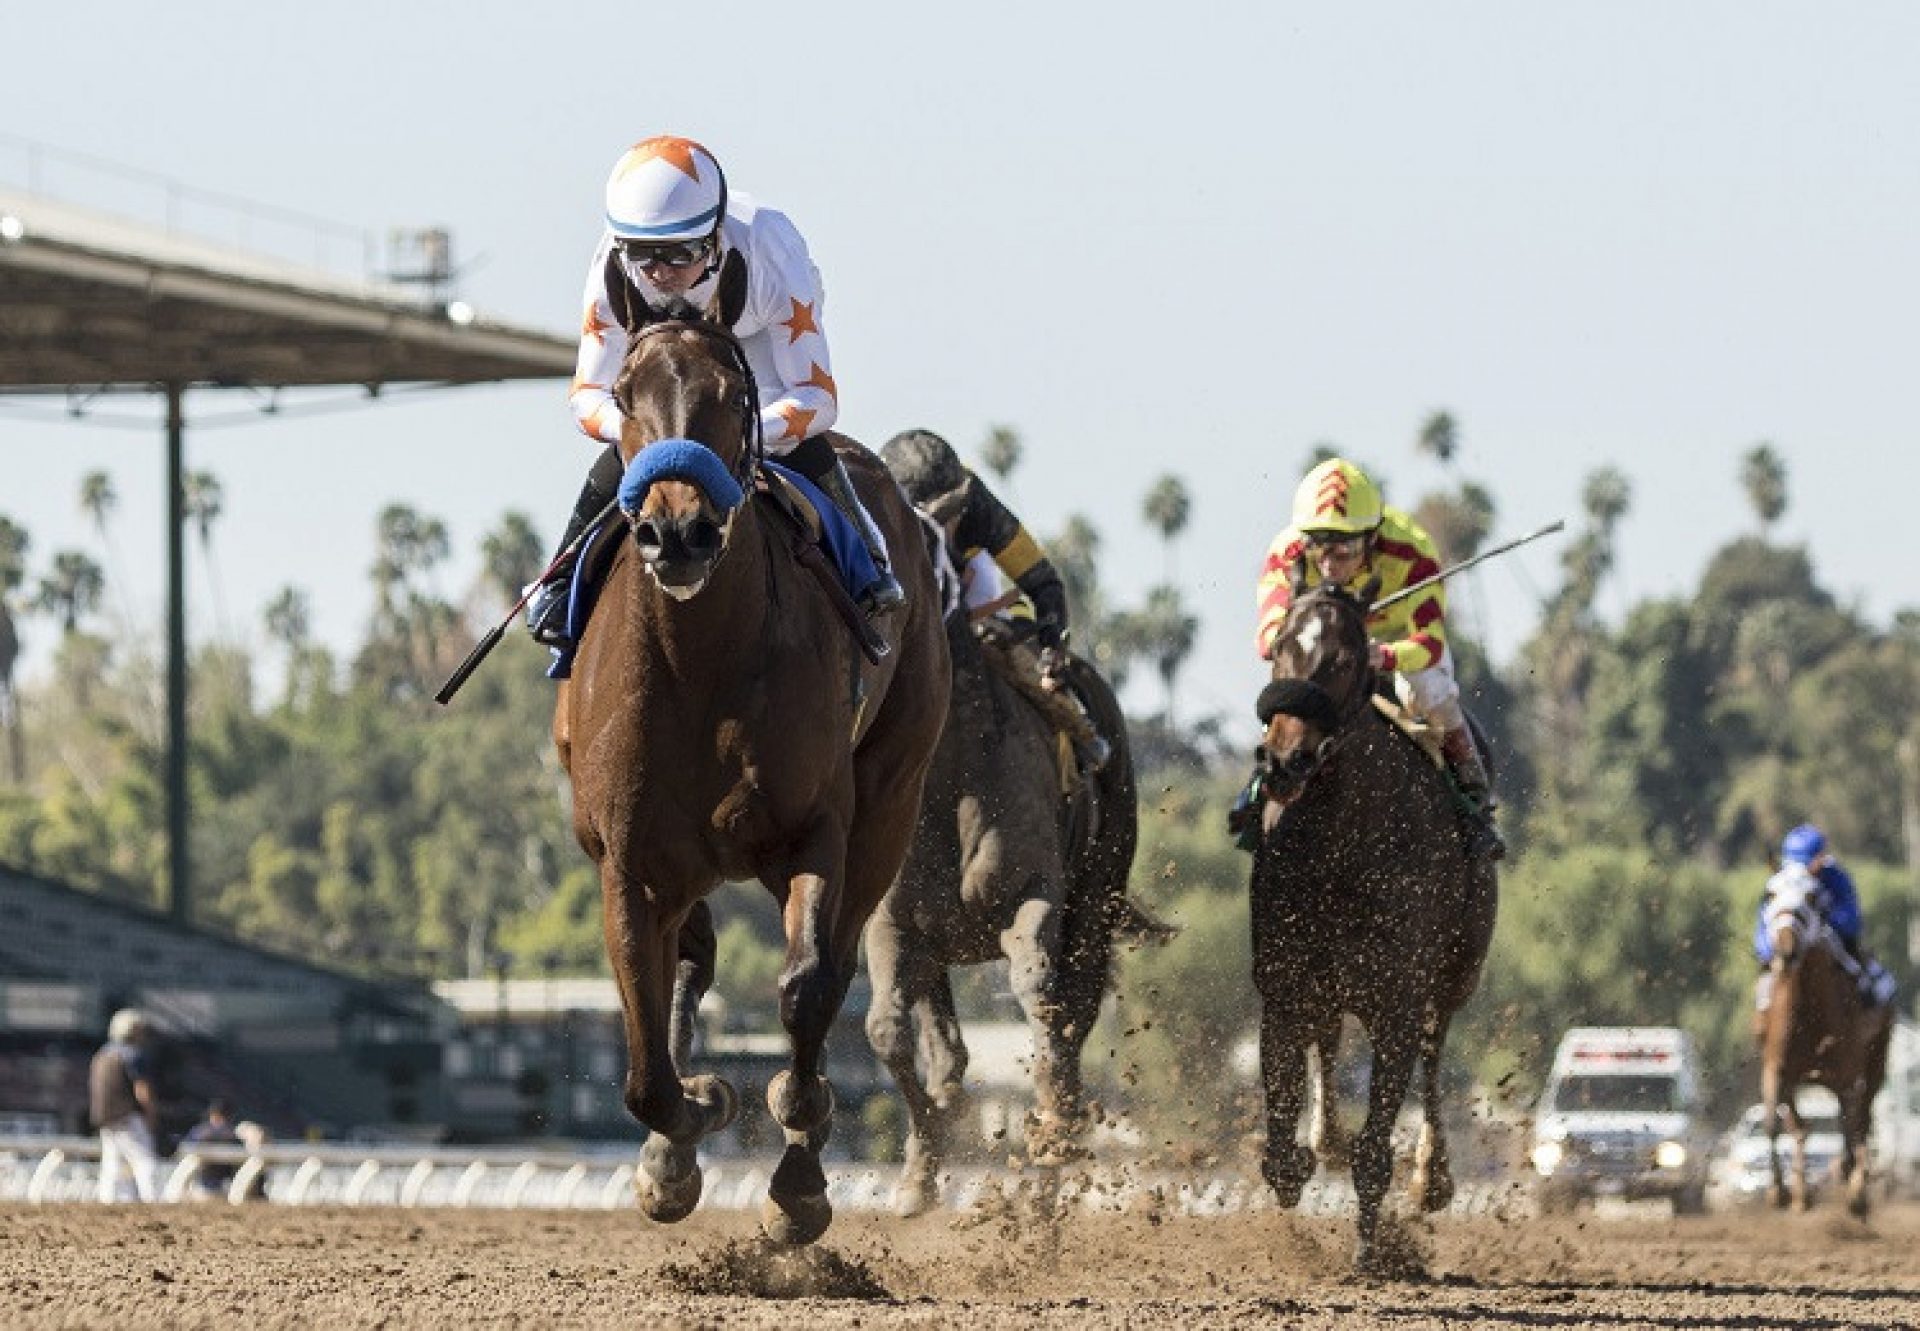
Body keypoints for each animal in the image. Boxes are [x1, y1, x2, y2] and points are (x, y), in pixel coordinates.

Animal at [867, 603, 1136, 1213]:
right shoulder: (891, 924)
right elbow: (887, 1030)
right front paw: (918, 1175)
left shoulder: (1031, 899)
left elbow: (1040, 992)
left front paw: (1055, 1121)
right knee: (940, 1032)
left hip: (1096, 905)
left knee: (1077, 1011)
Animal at [1244, 576, 1497, 1275]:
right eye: (1280, 647)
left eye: (1345, 658)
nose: (1284, 761)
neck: (1345, 846)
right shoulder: (1284, 987)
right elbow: (1280, 1142)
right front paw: (1301, 1157)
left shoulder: (1399, 1001)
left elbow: (1376, 1144)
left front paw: (1371, 1248)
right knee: (1329, 1043)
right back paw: (1324, 1136)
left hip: (1456, 976)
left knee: (1434, 1059)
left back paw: (1431, 1179)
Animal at [1758, 860, 1889, 1213]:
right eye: (1771, 893)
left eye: (1813, 897)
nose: (1786, 948)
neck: (1809, 1014)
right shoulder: (1776, 1067)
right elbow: (1775, 1123)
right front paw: (1780, 1192)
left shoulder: (1848, 1074)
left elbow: (1852, 1128)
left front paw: (1855, 1191)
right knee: (1805, 1128)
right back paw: (1804, 1192)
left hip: (1875, 1063)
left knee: (1861, 1121)